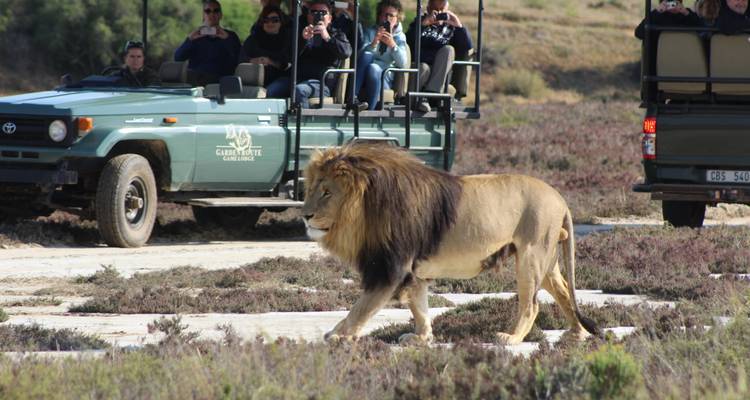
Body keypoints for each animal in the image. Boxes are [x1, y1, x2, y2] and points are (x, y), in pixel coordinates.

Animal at [302, 143, 598, 345]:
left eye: (327, 193)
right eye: (311, 189)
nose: (305, 215)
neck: (365, 208)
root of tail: (559, 197)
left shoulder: (390, 269)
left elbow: (361, 308)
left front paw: (339, 336)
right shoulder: (413, 271)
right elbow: (419, 307)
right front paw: (421, 339)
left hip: (531, 258)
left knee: (531, 304)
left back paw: (511, 338)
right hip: (547, 261)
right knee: (564, 292)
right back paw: (578, 333)